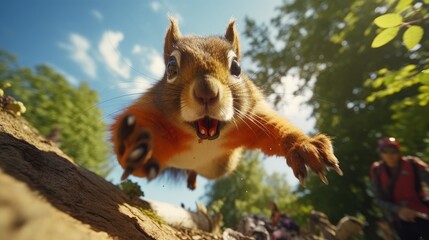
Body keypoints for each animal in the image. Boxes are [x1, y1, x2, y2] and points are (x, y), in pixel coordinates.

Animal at [109, 17, 342, 190]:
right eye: (171, 67)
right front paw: (135, 146)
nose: (207, 92)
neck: (203, 138)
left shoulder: (251, 121)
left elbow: (276, 131)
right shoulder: (148, 110)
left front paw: (304, 146)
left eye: (236, 67)